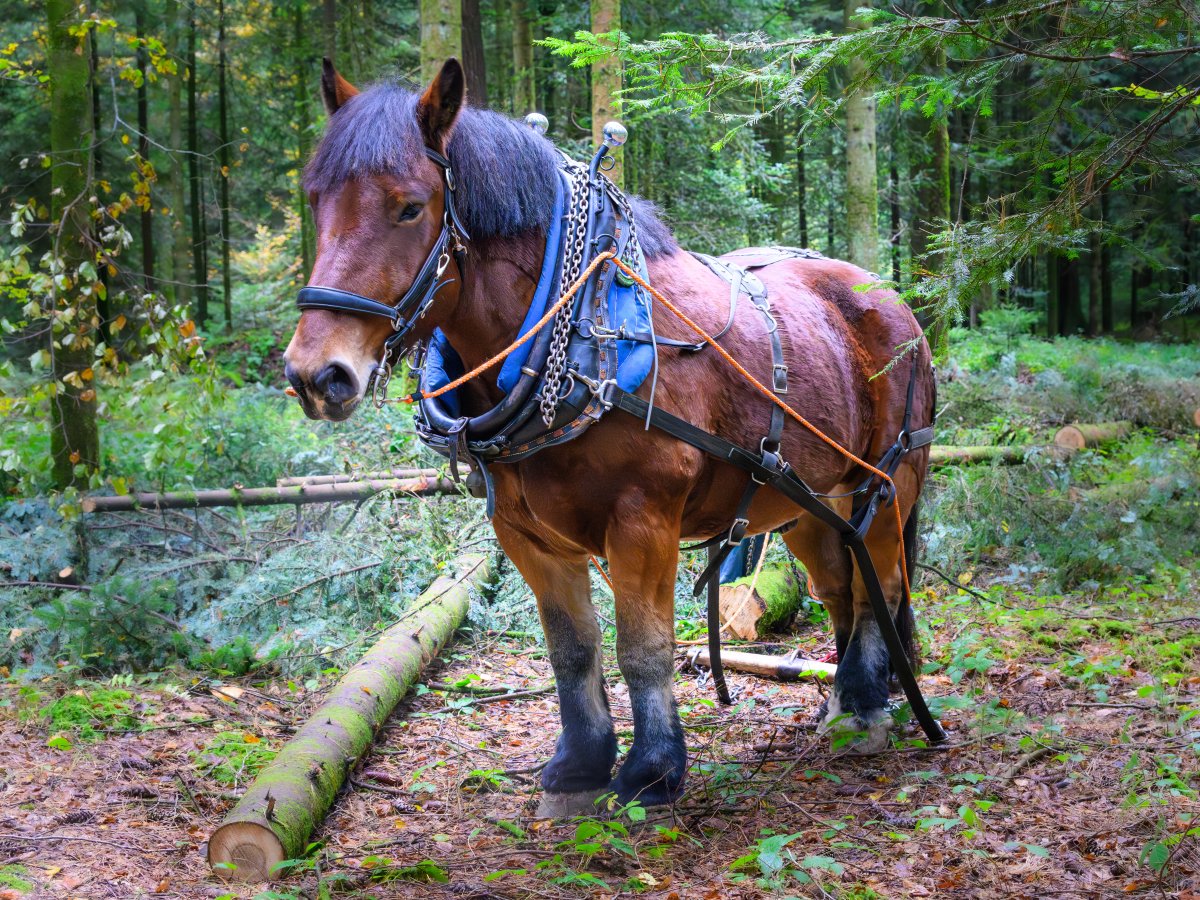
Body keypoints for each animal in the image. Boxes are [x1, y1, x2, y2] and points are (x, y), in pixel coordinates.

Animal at [283, 60, 936, 816]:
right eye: (315, 200)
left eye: (410, 207)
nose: (316, 374)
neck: (578, 337)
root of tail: (894, 302)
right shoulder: (522, 530)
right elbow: (573, 649)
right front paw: (580, 766)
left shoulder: (643, 519)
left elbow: (642, 648)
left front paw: (653, 770)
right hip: (808, 503)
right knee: (840, 588)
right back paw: (848, 698)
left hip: (888, 483)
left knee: (881, 582)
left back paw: (866, 710)